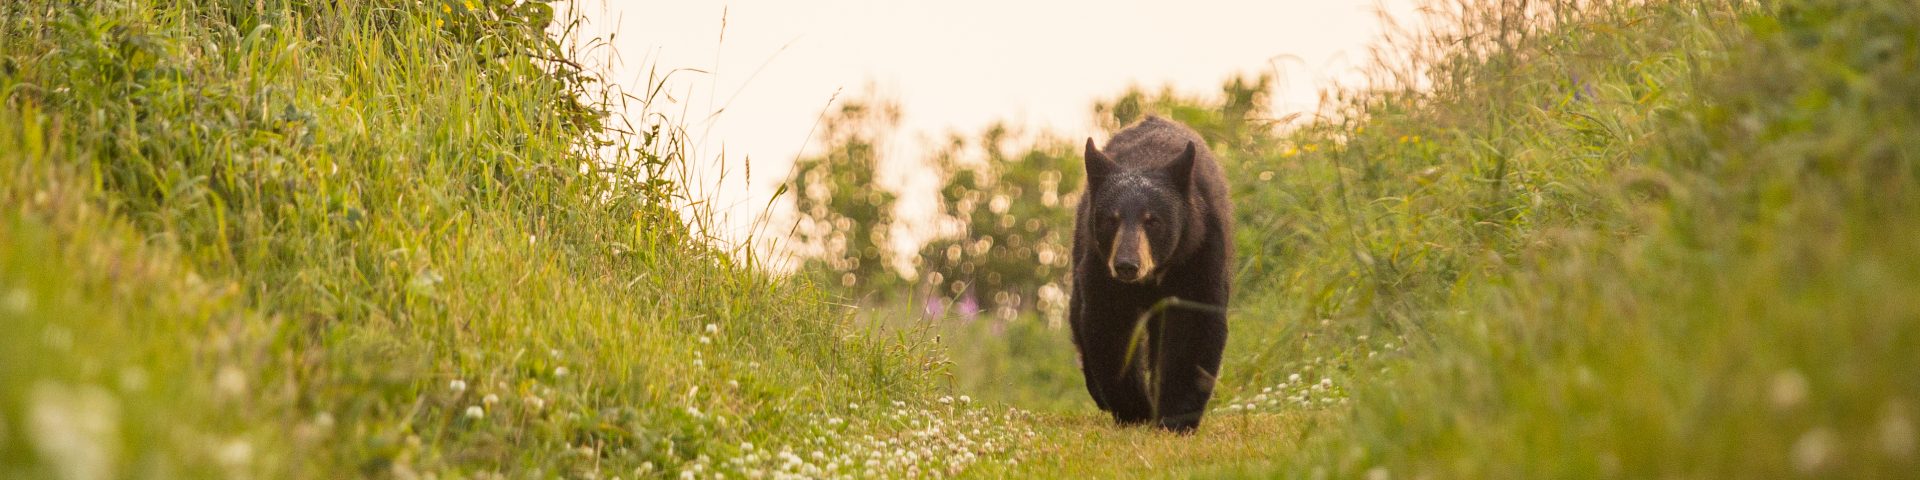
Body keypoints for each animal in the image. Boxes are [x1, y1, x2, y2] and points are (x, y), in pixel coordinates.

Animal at [1067, 115, 1228, 432]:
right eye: (1111, 219)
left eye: (1153, 221)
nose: (1127, 265)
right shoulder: (1100, 265)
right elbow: (1109, 325)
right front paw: (1135, 409)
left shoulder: (1198, 253)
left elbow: (1194, 324)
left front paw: (1175, 418)